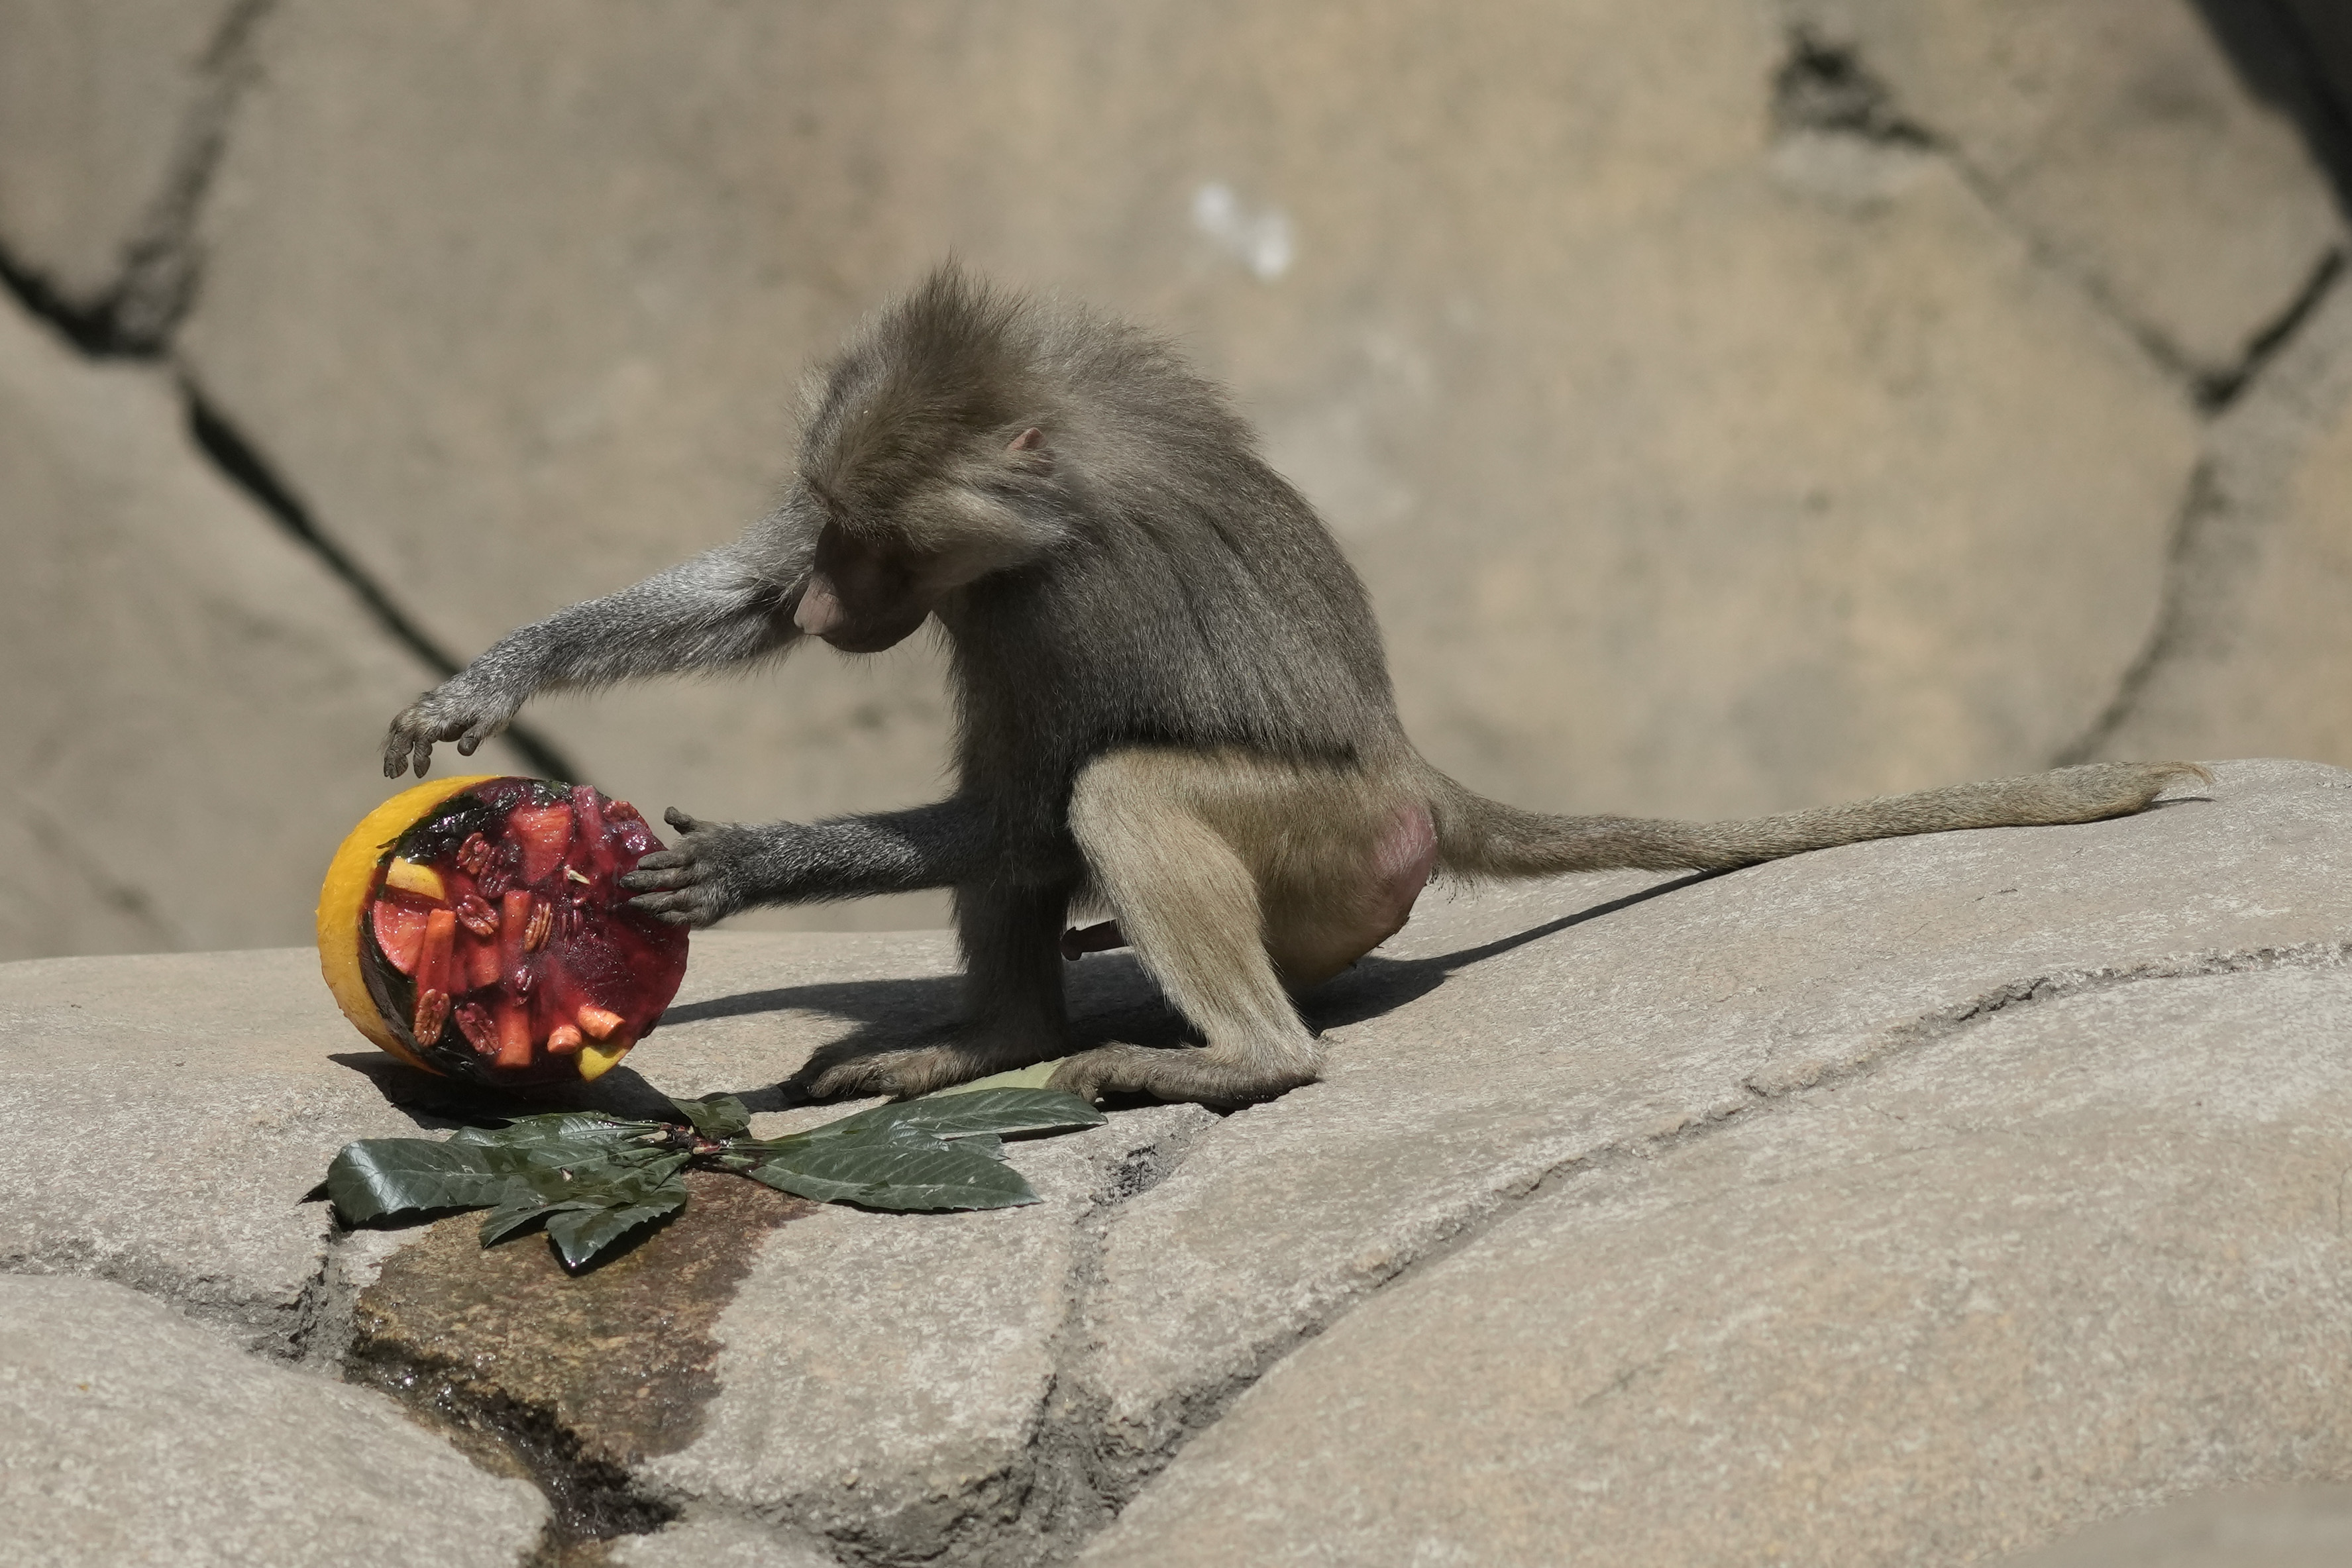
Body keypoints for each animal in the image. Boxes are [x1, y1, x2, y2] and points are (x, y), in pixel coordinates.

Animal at [382, 264, 2209, 1108]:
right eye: (825, 525)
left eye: (870, 542)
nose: (833, 598)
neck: (1039, 481)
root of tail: (1417, 770)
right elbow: (759, 624)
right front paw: (488, 679)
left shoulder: (1071, 594)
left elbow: (1023, 805)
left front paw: (741, 865)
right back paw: (994, 1041)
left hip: (1337, 845)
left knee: (1108, 790)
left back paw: (1225, 1062)